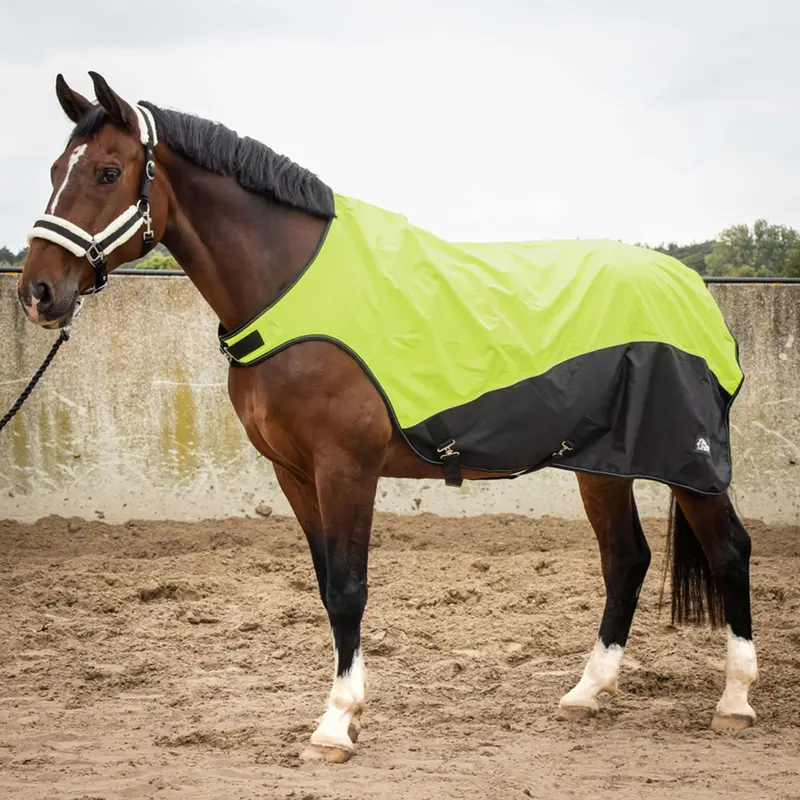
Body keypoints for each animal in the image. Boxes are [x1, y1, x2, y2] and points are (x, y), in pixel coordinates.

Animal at [16, 72, 757, 763]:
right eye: (54, 171)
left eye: (107, 172)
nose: (38, 293)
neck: (291, 288)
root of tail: (693, 290)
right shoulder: (294, 474)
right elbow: (326, 587)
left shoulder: (347, 468)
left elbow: (349, 589)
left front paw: (335, 724)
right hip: (601, 462)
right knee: (625, 559)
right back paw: (586, 692)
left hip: (689, 463)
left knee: (728, 551)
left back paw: (735, 703)